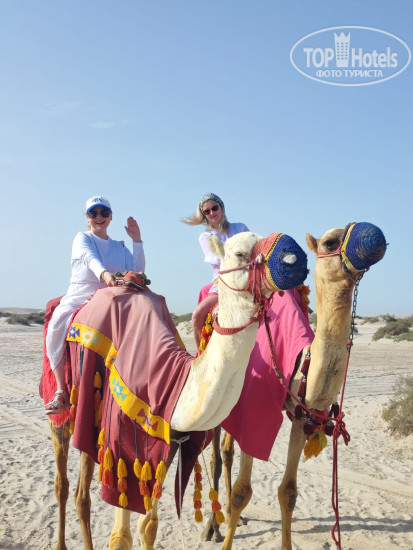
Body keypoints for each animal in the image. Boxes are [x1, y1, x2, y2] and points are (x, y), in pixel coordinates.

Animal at [43, 230, 309, 550]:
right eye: (240, 253)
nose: (295, 255)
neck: (175, 380)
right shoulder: (120, 442)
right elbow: (120, 537)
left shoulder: (165, 445)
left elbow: (149, 526)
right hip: (65, 410)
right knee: (65, 485)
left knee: (81, 491)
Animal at [201, 222, 387, 550]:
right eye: (329, 242)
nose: (374, 236)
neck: (302, 361)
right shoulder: (256, 409)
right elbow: (242, 492)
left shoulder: (304, 416)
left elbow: (288, 491)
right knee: (216, 457)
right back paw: (213, 527)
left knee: (227, 451)